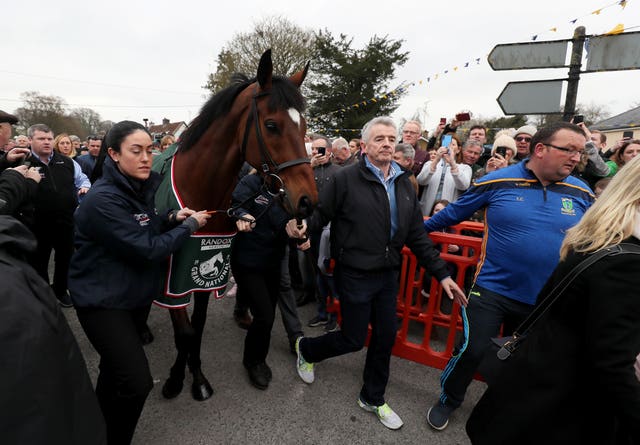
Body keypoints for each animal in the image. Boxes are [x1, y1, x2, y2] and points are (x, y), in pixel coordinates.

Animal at [158, 50, 318, 400]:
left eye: (304, 127)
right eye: (271, 125)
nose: (307, 201)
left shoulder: (201, 274)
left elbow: (197, 326)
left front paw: (196, 376)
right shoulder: (173, 276)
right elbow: (184, 331)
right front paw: (177, 379)